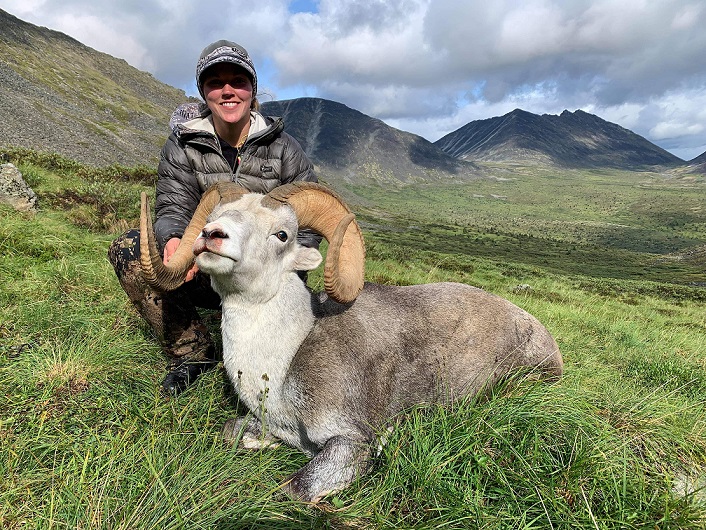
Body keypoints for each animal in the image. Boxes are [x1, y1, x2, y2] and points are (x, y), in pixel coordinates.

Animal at [139, 181, 563, 503]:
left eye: (282, 234)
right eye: (214, 217)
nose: (212, 236)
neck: (285, 358)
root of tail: (544, 336)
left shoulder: (349, 442)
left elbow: (296, 489)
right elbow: (234, 433)